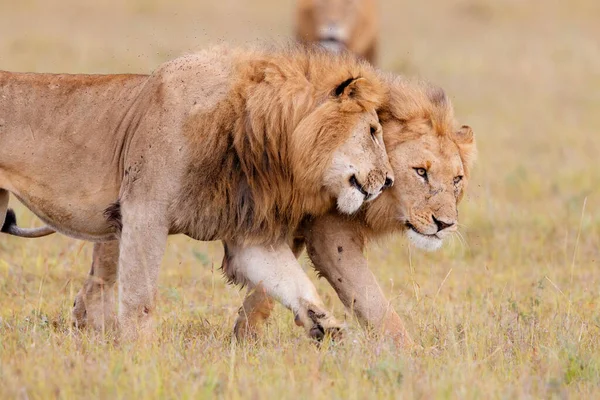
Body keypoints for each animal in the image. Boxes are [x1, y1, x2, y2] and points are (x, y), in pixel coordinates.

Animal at [0, 44, 394, 340]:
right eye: (373, 130)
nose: (389, 180)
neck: (258, 139)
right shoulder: (144, 210)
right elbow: (140, 295)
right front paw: (139, 351)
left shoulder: (247, 233)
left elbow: (292, 281)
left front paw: (326, 324)